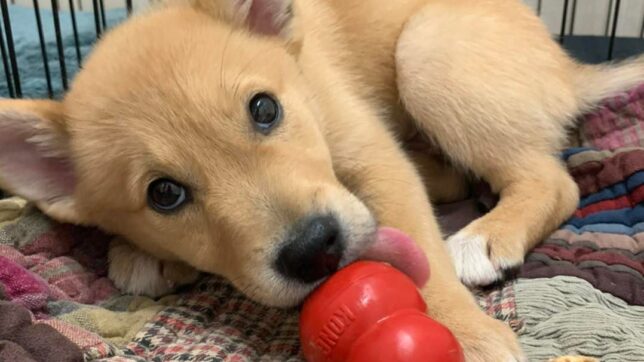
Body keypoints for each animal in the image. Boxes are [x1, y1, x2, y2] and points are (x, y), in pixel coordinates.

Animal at [0, 0, 640, 362]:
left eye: (265, 108)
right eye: (164, 194)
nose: (315, 250)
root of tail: (567, 67)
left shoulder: (373, 155)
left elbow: (423, 252)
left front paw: (466, 333)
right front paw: (140, 252)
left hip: (427, 51)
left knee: (553, 180)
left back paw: (485, 236)